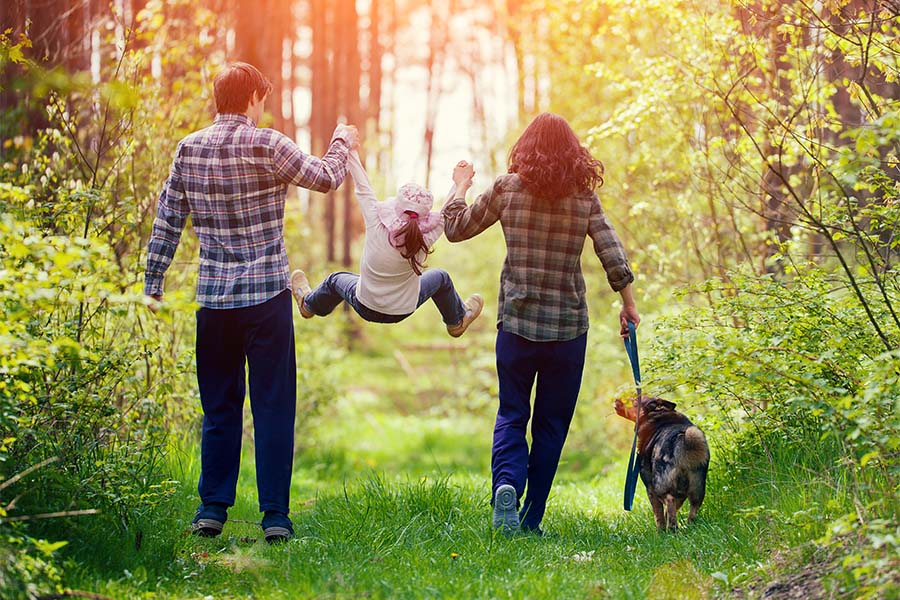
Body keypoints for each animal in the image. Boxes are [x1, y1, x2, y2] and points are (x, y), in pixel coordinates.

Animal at [612, 398, 712, 528]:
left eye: (632, 401)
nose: (616, 400)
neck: (657, 416)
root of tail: (683, 439)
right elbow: (667, 513)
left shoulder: (650, 488)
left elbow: (658, 515)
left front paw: (661, 531)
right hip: (698, 490)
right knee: (692, 510)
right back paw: (689, 527)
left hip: (660, 486)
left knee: (669, 502)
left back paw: (672, 530)